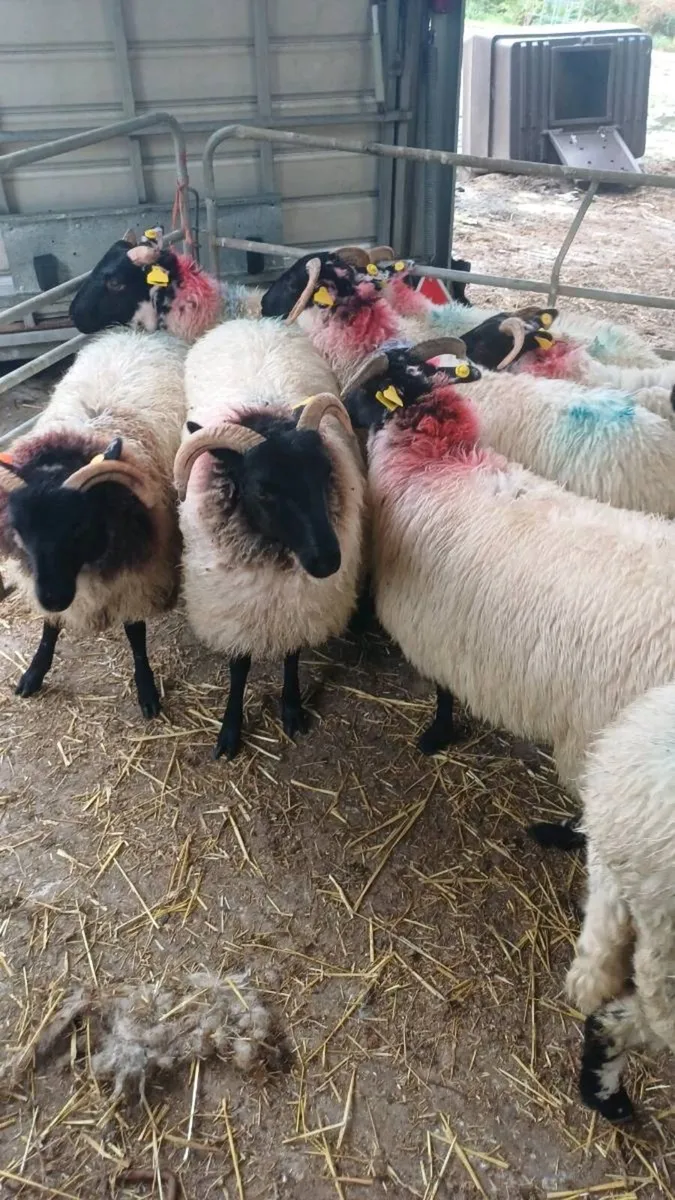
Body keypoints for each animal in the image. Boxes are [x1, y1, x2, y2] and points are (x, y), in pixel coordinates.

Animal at [0, 329, 186, 716]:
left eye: (78, 527)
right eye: (21, 534)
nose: (53, 598)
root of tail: (138, 334)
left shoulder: (138, 573)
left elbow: (135, 633)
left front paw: (146, 689)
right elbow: (49, 628)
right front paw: (34, 673)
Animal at [175, 317, 366, 759]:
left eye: (324, 472)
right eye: (264, 490)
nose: (327, 561)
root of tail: (252, 320)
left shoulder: (300, 603)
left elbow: (292, 655)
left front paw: (292, 708)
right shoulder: (236, 605)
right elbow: (239, 666)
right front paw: (230, 728)